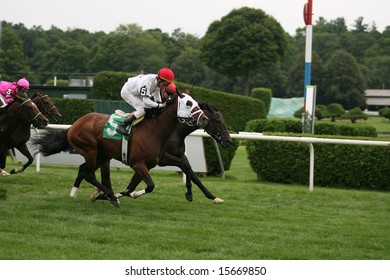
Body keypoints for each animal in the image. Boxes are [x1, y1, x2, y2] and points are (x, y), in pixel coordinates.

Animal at [32, 93, 209, 207]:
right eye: (188, 103)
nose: (205, 118)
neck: (154, 131)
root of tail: (73, 126)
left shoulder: (149, 164)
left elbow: (132, 187)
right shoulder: (137, 163)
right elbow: (150, 185)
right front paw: (114, 195)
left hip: (102, 154)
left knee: (83, 169)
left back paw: (77, 193)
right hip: (90, 149)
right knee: (89, 173)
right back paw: (110, 197)